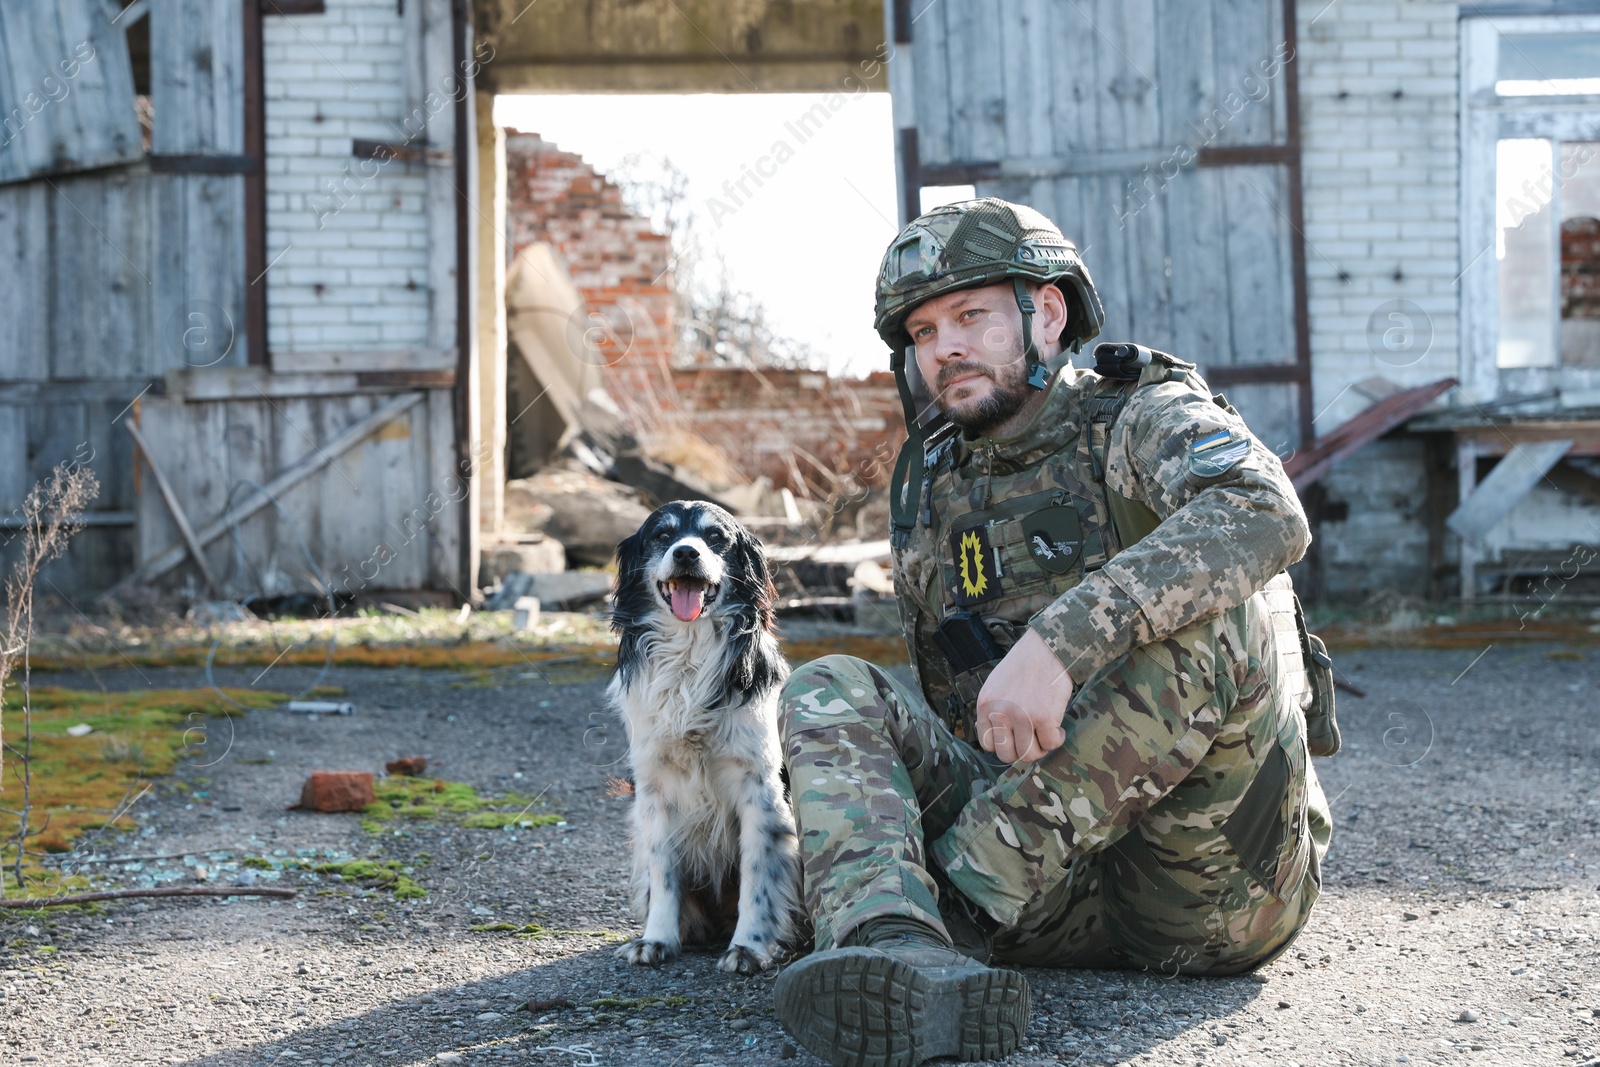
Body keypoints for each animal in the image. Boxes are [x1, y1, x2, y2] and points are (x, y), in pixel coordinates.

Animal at [604, 502, 800, 979]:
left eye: (715, 538)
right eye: (662, 535)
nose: (686, 553)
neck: (689, 653)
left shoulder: (760, 791)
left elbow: (757, 877)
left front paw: (750, 947)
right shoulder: (653, 792)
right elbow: (663, 872)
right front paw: (657, 939)